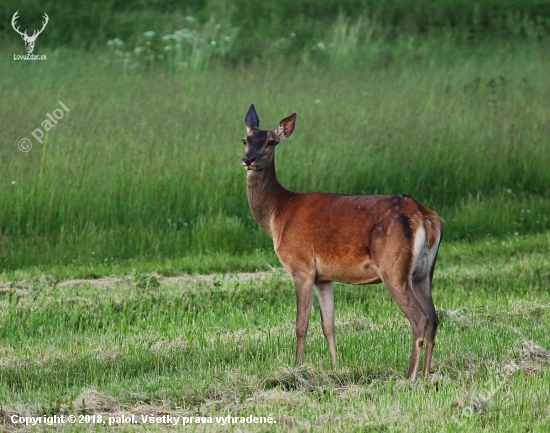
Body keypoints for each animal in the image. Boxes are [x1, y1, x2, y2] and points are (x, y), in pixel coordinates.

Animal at [244, 103, 446, 380]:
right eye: (245, 140)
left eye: (271, 142)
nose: (248, 159)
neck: (278, 215)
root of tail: (424, 216)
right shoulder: (324, 277)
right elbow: (328, 324)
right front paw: (334, 368)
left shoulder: (301, 267)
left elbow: (301, 324)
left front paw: (297, 368)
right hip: (424, 272)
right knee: (434, 318)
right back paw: (426, 376)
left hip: (393, 266)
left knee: (421, 319)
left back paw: (410, 378)